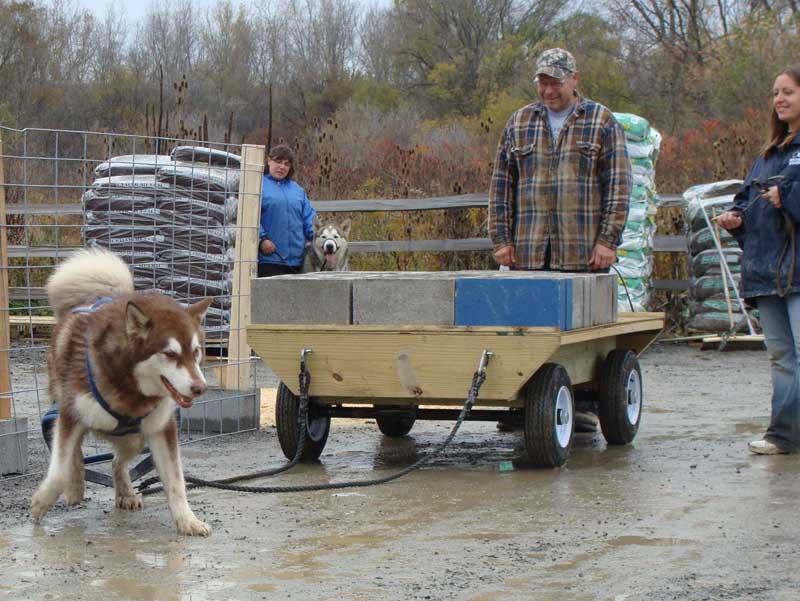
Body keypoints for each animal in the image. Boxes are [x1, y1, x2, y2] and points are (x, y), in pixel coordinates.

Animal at [32, 247, 212, 536]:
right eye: (170, 354)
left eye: (196, 351)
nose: (200, 388)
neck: (131, 390)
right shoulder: (71, 414)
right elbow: (60, 469)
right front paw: (43, 502)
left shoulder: (162, 427)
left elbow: (176, 480)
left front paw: (187, 520)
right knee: (78, 455)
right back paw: (76, 486)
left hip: (134, 437)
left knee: (117, 462)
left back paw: (126, 492)